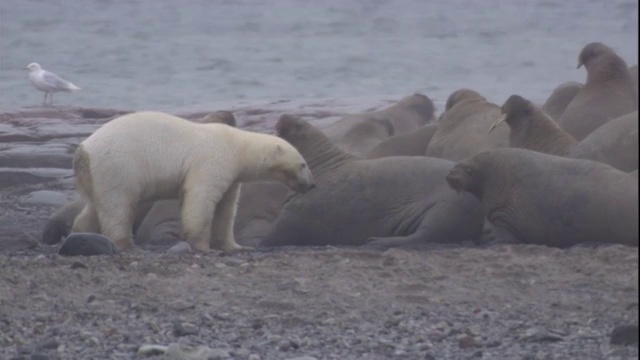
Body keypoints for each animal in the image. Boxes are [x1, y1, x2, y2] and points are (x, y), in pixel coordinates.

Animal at [71, 111, 316, 252]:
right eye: (303, 164)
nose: (311, 185)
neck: (237, 145)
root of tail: (83, 151)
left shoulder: (231, 175)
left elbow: (227, 208)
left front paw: (235, 246)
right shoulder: (213, 160)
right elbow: (201, 198)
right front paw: (201, 245)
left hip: (97, 175)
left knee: (94, 207)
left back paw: (80, 234)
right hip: (119, 165)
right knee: (118, 205)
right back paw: (125, 243)